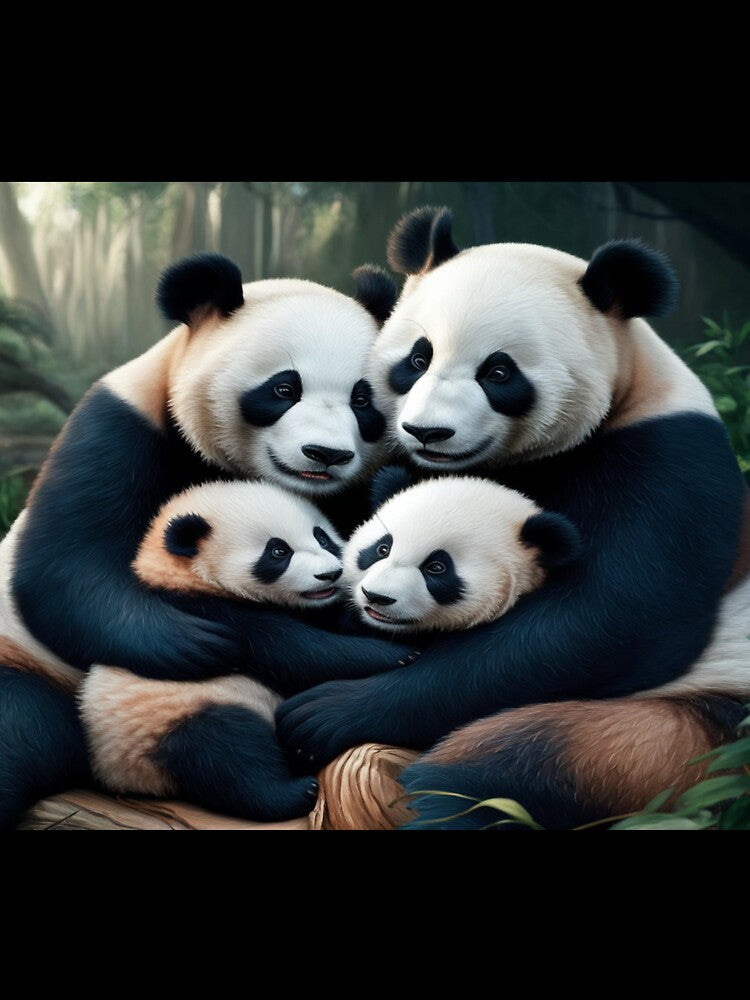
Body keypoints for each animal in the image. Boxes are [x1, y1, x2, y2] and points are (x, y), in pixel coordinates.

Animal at [78, 478, 346, 821]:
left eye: (322, 537)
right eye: (278, 551)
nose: (330, 574)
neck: (182, 576)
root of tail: (133, 780)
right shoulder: (220, 616)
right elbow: (307, 655)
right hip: (172, 719)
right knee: (227, 753)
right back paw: (296, 791)